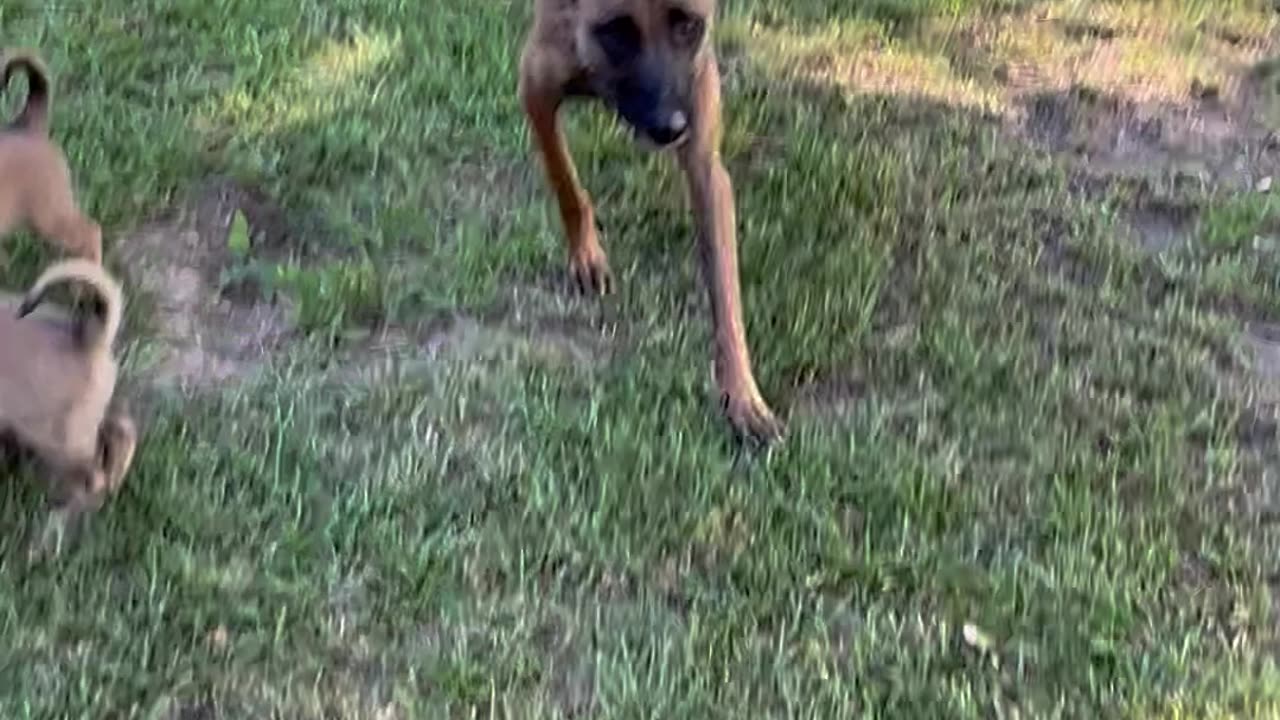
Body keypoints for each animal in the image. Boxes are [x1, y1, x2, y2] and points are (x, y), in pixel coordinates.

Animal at [0, 257, 136, 556]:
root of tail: (90, 340)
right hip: (77, 425)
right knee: (122, 430)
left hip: (58, 440)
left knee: (93, 477)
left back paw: (49, 535)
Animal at [517, 0, 778, 443]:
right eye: (616, 30)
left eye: (688, 26)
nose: (668, 127)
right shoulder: (536, 84)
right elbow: (564, 178)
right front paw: (587, 256)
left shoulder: (704, 161)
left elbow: (726, 296)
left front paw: (743, 397)